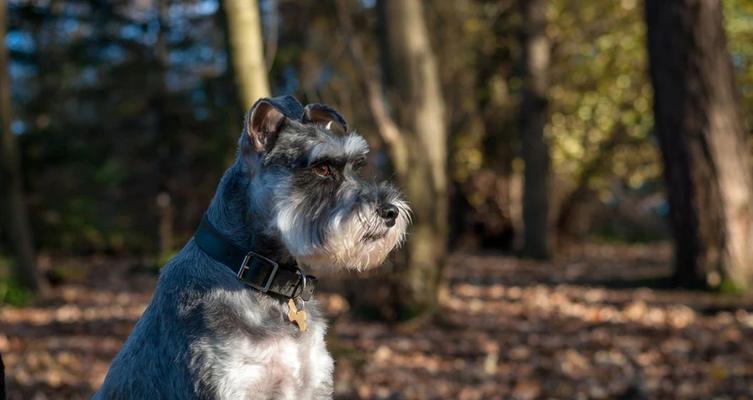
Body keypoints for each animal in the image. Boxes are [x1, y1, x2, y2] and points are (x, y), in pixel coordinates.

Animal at [95, 95, 412, 398]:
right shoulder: (230, 384)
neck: (254, 274)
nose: (391, 212)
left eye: (355, 167)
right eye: (322, 168)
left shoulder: (313, 383)